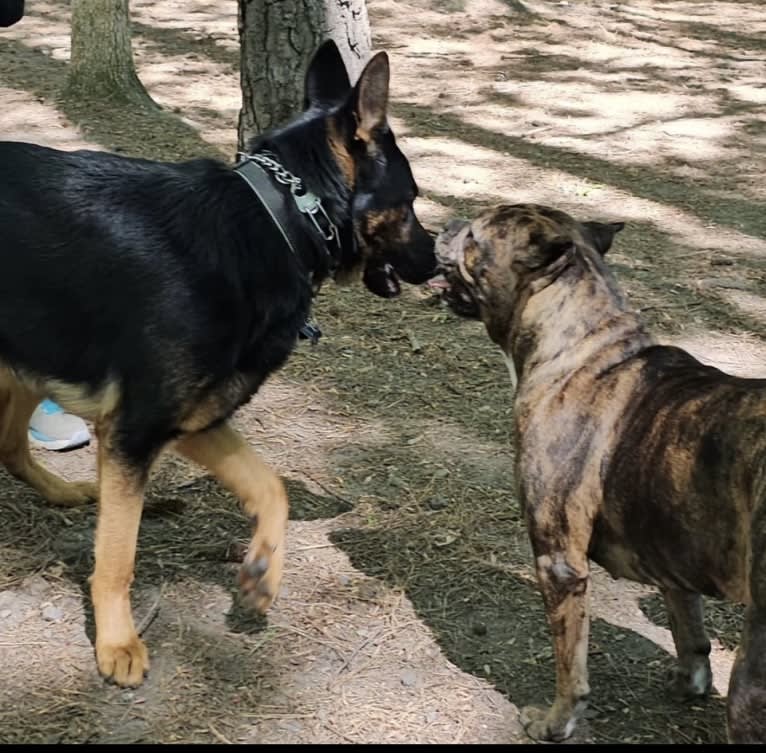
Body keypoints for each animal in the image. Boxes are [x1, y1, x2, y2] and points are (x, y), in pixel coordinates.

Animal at [0, 39, 436, 688]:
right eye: (410, 203)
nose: (438, 261)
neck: (282, 218)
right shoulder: (135, 433)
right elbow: (118, 555)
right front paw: (117, 642)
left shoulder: (194, 423)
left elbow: (271, 487)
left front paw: (262, 575)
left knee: (8, 446)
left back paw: (66, 492)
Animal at [438, 203, 766, 744]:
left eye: (474, 236)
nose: (445, 224)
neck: (583, 344)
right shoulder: (672, 552)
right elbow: (689, 630)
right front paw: (689, 682)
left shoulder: (559, 563)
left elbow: (570, 668)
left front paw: (555, 722)